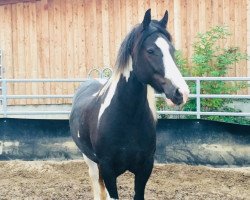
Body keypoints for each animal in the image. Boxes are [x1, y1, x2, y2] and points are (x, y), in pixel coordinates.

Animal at [69, 8, 188, 199]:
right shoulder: (108, 169)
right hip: (90, 160)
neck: (126, 118)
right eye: (151, 50)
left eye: (172, 50)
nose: (181, 92)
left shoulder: (145, 168)